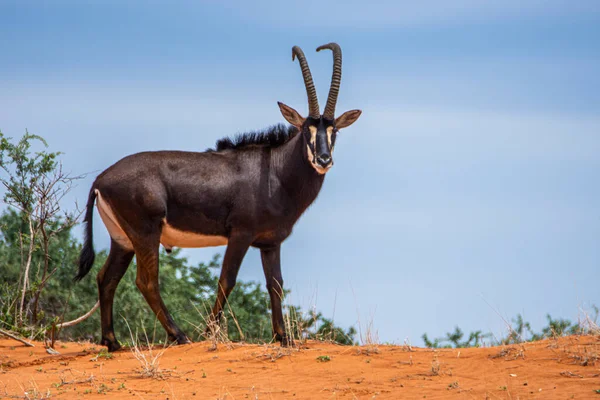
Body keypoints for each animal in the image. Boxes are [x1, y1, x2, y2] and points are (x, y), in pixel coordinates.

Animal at [75, 42, 360, 352]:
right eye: (306, 129)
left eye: (334, 131)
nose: (323, 159)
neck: (276, 171)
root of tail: (101, 179)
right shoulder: (240, 235)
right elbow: (227, 279)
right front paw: (209, 332)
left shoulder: (270, 243)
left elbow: (275, 284)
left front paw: (283, 338)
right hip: (145, 233)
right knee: (146, 281)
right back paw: (179, 335)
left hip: (123, 240)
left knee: (106, 278)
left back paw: (112, 341)